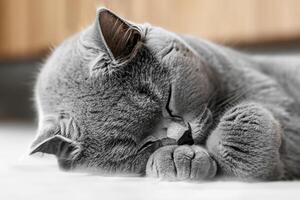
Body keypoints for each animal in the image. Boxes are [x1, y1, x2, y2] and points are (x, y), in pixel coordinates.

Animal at [29, 8, 300, 181]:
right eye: (145, 144)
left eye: (168, 100)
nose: (184, 137)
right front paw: (176, 159)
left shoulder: (273, 97)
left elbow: (245, 129)